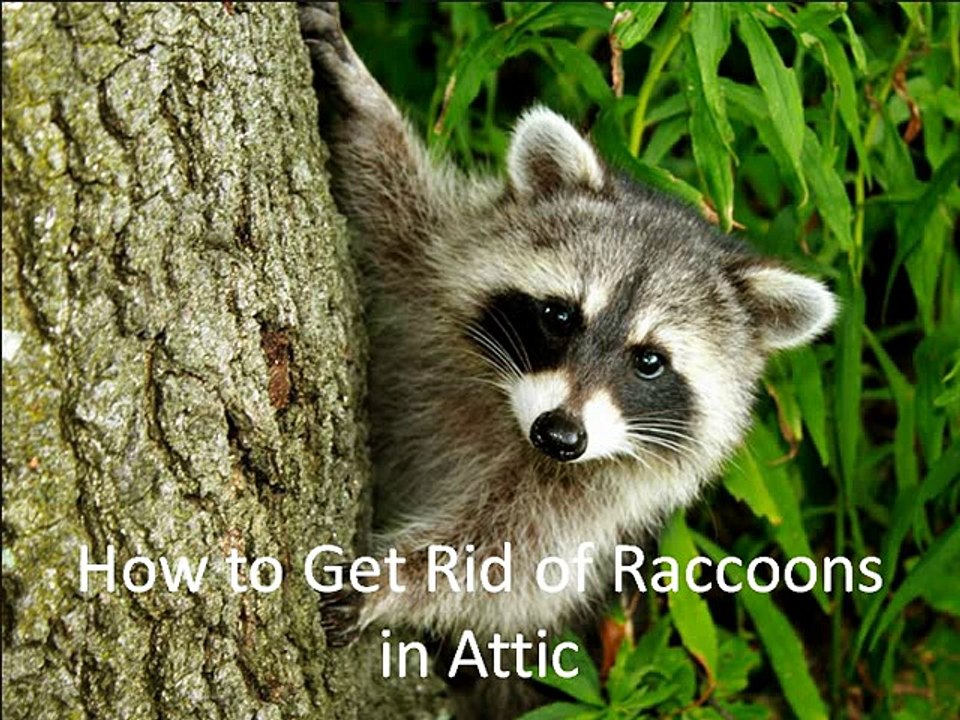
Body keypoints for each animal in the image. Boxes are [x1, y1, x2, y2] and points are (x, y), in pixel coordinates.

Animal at [299, 3, 836, 648]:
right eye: (560, 315)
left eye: (649, 361)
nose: (558, 435)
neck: (507, 413)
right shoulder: (431, 266)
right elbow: (391, 203)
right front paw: (363, 104)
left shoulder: (591, 502)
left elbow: (512, 565)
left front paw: (397, 579)